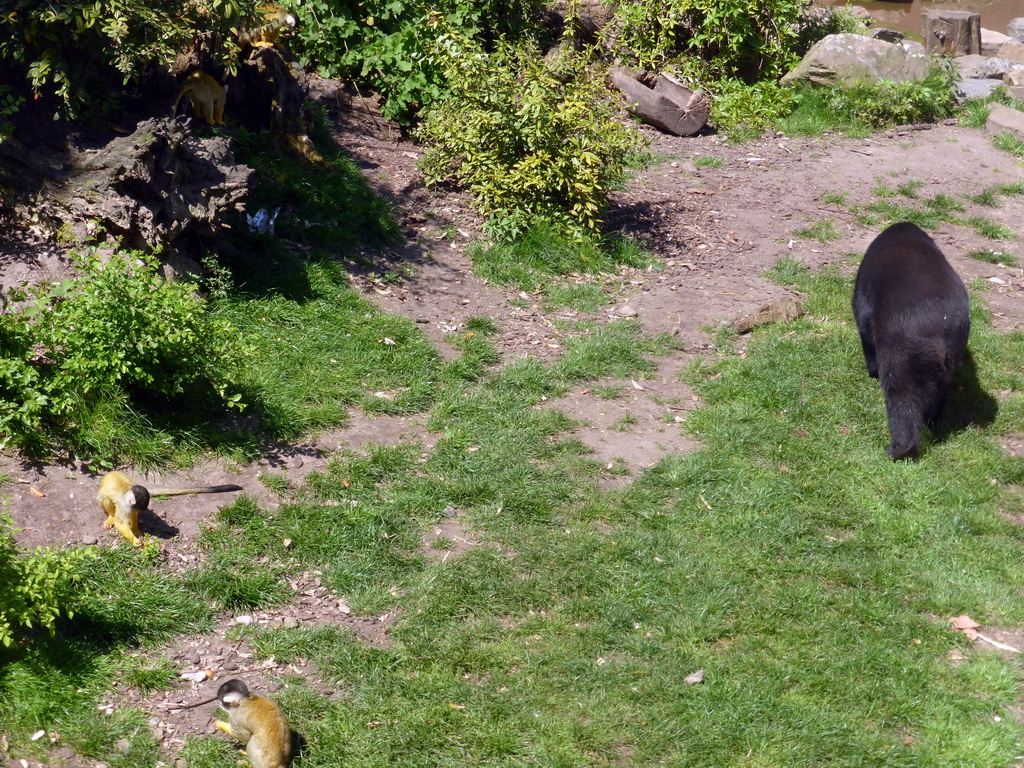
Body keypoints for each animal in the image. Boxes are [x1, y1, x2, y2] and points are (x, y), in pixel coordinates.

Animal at [97, 468, 245, 548]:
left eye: (138, 509)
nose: (136, 510)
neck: (128, 492)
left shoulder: (131, 506)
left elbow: (132, 515)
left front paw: (136, 530)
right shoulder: (125, 505)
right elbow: (120, 522)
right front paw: (136, 541)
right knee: (104, 498)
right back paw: (110, 517)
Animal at [851, 224, 970, 462]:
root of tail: (939, 337)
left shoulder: (865, 297)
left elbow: (865, 328)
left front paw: (872, 371)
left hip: (903, 350)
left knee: (901, 397)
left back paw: (898, 449)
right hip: (951, 356)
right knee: (938, 391)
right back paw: (933, 422)